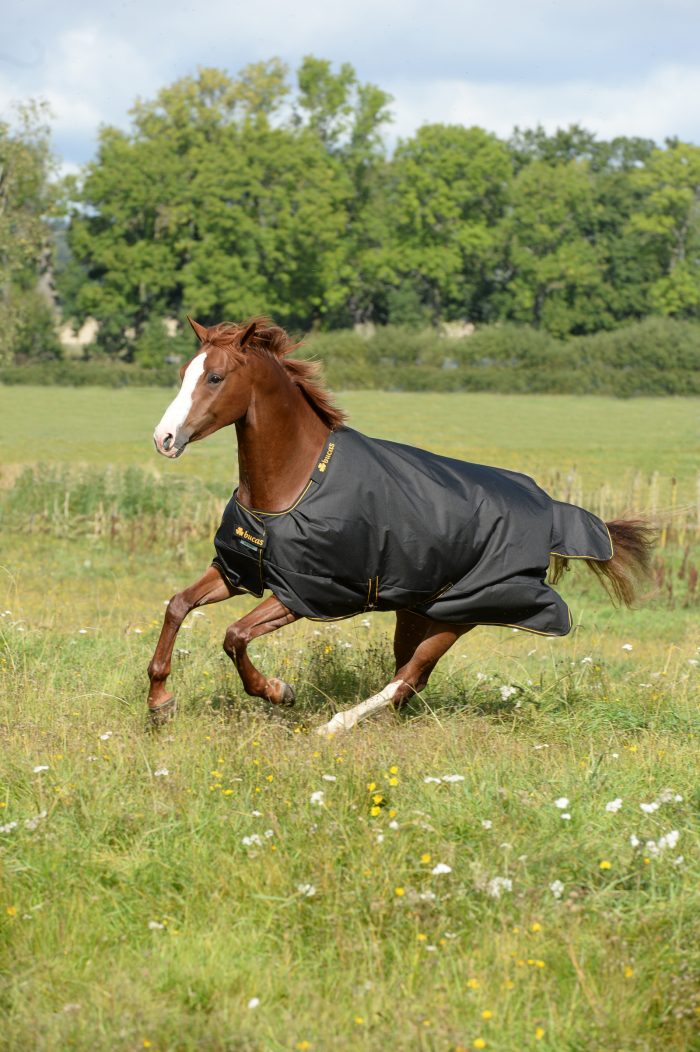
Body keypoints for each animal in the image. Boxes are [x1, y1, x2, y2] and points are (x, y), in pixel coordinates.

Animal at [147, 315, 656, 736]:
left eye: (215, 377)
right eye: (183, 373)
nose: (164, 439)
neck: (294, 483)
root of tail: (549, 510)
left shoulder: (304, 594)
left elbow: (234, 636)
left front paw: (278, 691)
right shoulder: (239, 571)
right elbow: (177, 606)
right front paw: (159, 702)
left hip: (458, 616)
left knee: (407, 679)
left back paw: (333, 726)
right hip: (416, 612)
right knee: (408, 678)